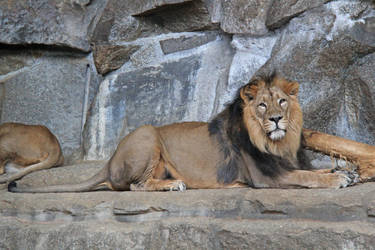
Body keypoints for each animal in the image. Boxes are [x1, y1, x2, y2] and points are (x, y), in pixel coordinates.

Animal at [8, 74, 354, 193]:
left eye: (282, 101)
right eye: (262, 105)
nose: (277, 119)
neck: (277, 143)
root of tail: (109, 162)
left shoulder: (283, 163)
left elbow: (312, 170)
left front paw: (345, 171)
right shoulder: (264, 177)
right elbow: (307, 177)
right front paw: (337, 178)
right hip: (147, 135)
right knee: (134, 186)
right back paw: (173, 184)